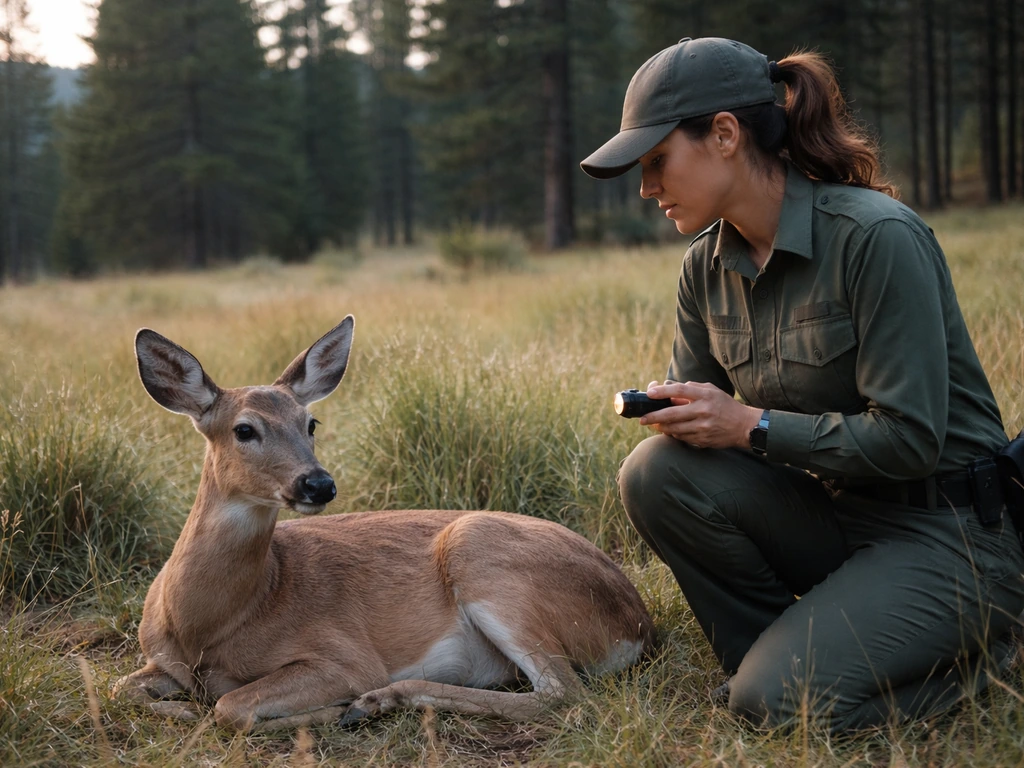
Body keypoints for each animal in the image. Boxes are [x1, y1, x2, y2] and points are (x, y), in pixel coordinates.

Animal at [114, 316, 656, 732]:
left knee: (563, 694)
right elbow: (121, 687)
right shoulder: (161, 660)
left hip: (481, 555)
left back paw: (376, 702)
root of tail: (640, 624)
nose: (319, 483)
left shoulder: (344, 657)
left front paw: (330, 709)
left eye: (311, 423)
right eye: (244, 429)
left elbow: (228, 706)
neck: (209, 624)